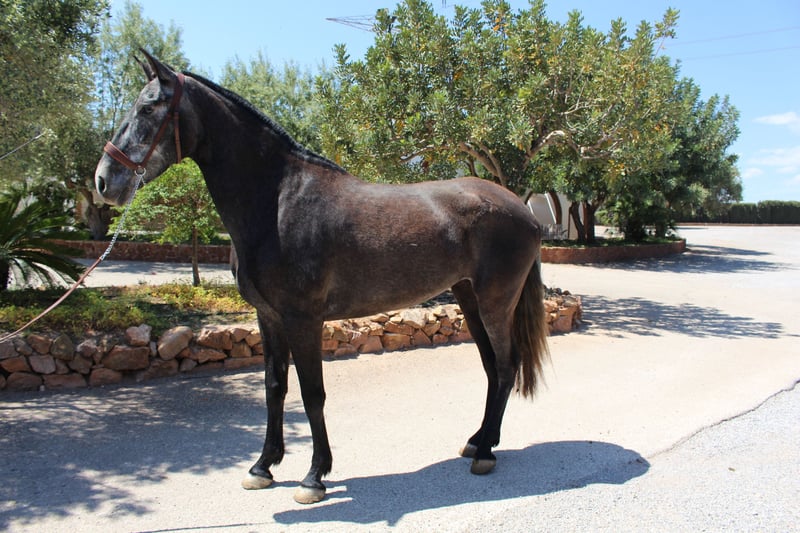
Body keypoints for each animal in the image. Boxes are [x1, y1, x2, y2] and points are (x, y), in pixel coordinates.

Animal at [94, 51, 549, 505]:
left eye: (148, 108)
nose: (103, 180)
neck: (278, 200)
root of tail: (523, 211)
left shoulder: (304, 320)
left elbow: (312, 394)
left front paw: (314, 476)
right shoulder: (269, 317)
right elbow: (274, 386)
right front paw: (263, 466)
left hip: (495, 302)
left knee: (506, 365)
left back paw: (485, 452)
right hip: (468, 297)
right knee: (491, 367)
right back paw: (478, 440)